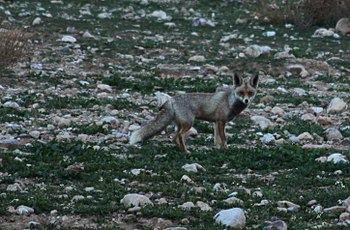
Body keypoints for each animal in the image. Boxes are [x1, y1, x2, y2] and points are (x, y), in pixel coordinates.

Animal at [130, 73, 258, 152]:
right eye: (241, 93)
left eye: (250, 93)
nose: (246, 101)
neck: (229, 101)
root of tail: (171, 100)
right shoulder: (221, 121)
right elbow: (224, 139)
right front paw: (226, 149)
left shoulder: (216, 122)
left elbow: (217, 140)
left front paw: (217, 150)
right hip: (188, 123)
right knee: (180, 136)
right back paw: (186, 151)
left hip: (181, 124)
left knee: (174, 138)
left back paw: (181, 150)